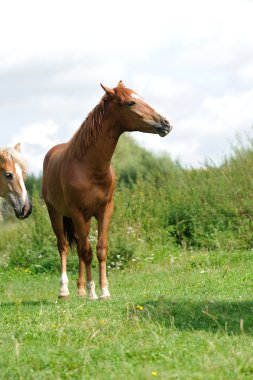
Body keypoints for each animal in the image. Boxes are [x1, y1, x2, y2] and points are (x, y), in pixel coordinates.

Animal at [42, 82, 173, 300]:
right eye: (131, 102)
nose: (166, 123)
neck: (88, 168)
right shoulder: (77, 213)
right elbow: (86, 251)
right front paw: (92, 291)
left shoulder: (105, 210)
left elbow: (100, 249)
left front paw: (103, 291)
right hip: (56, 213)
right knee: (64, 246)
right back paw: (64, 290)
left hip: (83, 220)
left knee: (79, 247)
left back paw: (80, 290)